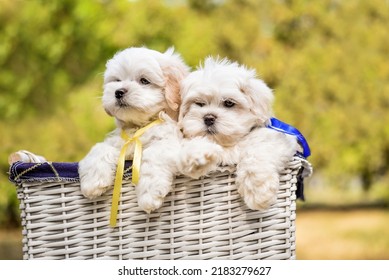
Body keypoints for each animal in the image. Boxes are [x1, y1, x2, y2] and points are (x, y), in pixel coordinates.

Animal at [78, 46, 188, 212]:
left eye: (144, 81)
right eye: (117, 80)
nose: (118, 92)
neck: (137, 127)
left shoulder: (169, 141)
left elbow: (153, 156)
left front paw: (149, 193)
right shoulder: (117, 141)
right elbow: (99, 148)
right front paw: (93, 181)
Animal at [178, 58, 298, 211]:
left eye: (229, 103)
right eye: (199, 103)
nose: (208, 118)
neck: (228, 144)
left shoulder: (277, 138)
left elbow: (258, 152)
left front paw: (258, 191)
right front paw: (197, 158)